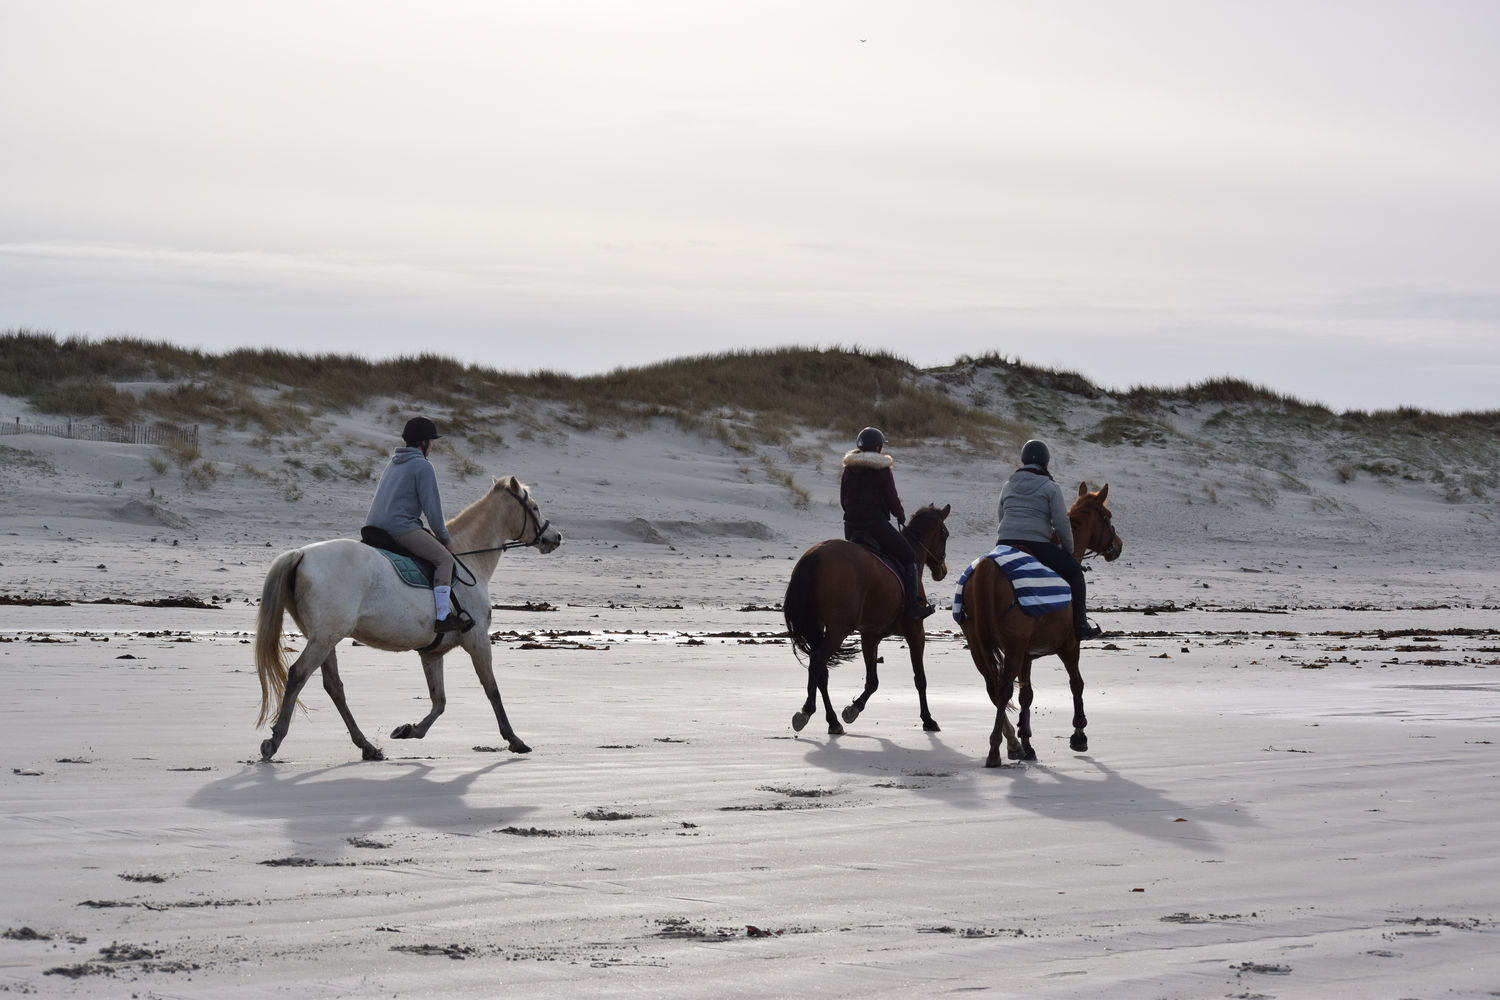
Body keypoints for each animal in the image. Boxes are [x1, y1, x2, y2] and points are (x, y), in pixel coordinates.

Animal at [255, 473, 561, 761]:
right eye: (534, 507)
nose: (556, 537)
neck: (468, 558)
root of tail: (301, 554)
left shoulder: (432, 652)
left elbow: (439, 701)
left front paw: (409, 730)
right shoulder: (477, 640)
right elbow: (492, 690)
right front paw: (514, 739)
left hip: (325, 638)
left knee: (334, 687)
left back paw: (367, 747)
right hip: (324, 637)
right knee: (298, 674)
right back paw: (275, 740)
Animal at [786, 509, 948, 734]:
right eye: (945, 534)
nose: (943, 570)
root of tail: (815, 554)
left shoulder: (870, 635)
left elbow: (872, 681)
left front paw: (854, 708)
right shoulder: (916, 632)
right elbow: (920, 679)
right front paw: (928, 719)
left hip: (818, 628)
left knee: (821, 671)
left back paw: (833, 721)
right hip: (838, 630)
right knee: (817, 661)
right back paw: (807, 710)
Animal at [966, 485, 1122, 767]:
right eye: (1108, 515)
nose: (1118, 545)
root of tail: (986, 568)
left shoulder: (1026, 655)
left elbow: (1026, 696)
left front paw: (1027, 742)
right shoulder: (1069, 646)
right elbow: (1077, 683)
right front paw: (1079, 733)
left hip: (978, 644)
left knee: (993, 689)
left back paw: (1012, 744)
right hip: (1012, 649)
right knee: (1002, 690)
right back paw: (995, 750)